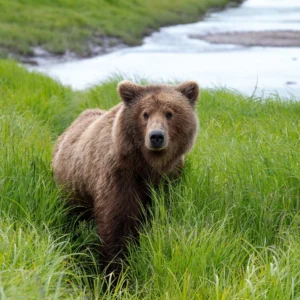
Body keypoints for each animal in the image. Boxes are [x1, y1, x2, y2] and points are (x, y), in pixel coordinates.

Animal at [52, 79, 199, 274]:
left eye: (170, 113)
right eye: (145, 114)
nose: (156, 136)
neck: (147, 166)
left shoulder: (169, 178)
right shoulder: (119, 176)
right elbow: (118, 223)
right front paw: (115, 269)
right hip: (72, 187)